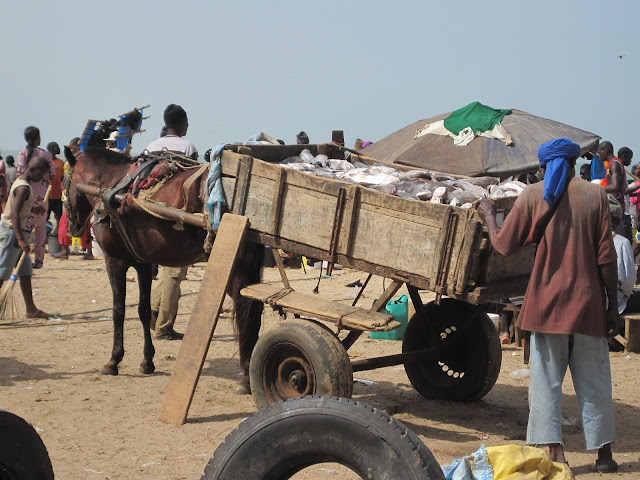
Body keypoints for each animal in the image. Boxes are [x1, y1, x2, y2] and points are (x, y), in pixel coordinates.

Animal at [66, 145, 264, 390]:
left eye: (65, 181)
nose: (72, 226)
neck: (113, 184)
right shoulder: (142, 263)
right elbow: (142, 309)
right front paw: (147, 361)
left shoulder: (114, 261)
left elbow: (118, 310)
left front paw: (113, 361)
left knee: (244, 309)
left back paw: (247, 376)